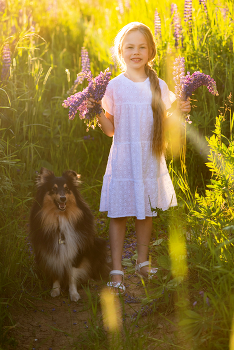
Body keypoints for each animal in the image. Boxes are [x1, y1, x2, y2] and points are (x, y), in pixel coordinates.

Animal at [29, 167, 109, 300]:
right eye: (54, 189)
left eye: (67, 189)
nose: (63, 198)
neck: (60, 218)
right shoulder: (51, 251)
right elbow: (55, 272)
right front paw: (55, 290)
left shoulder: (75, 250)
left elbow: (72, 274)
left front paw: (74, 294)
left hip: (99, 245)